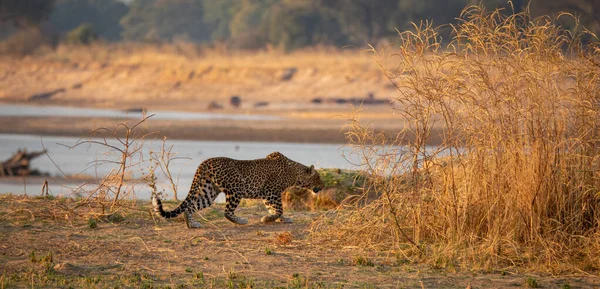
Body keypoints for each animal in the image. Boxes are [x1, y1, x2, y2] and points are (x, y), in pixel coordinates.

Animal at [152, 151, 326, 227]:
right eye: (318, 177)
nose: (323, 186)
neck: (294, 173)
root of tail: (206, 162)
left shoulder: (267, 195)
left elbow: (275, 209)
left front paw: (281, 219)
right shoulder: (272, 192)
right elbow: (278, 209)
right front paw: (269, 218)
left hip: (209, 190)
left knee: (191, 206)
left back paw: (192, 224)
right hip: (236, 189)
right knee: (227, 212)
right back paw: (241, 221)